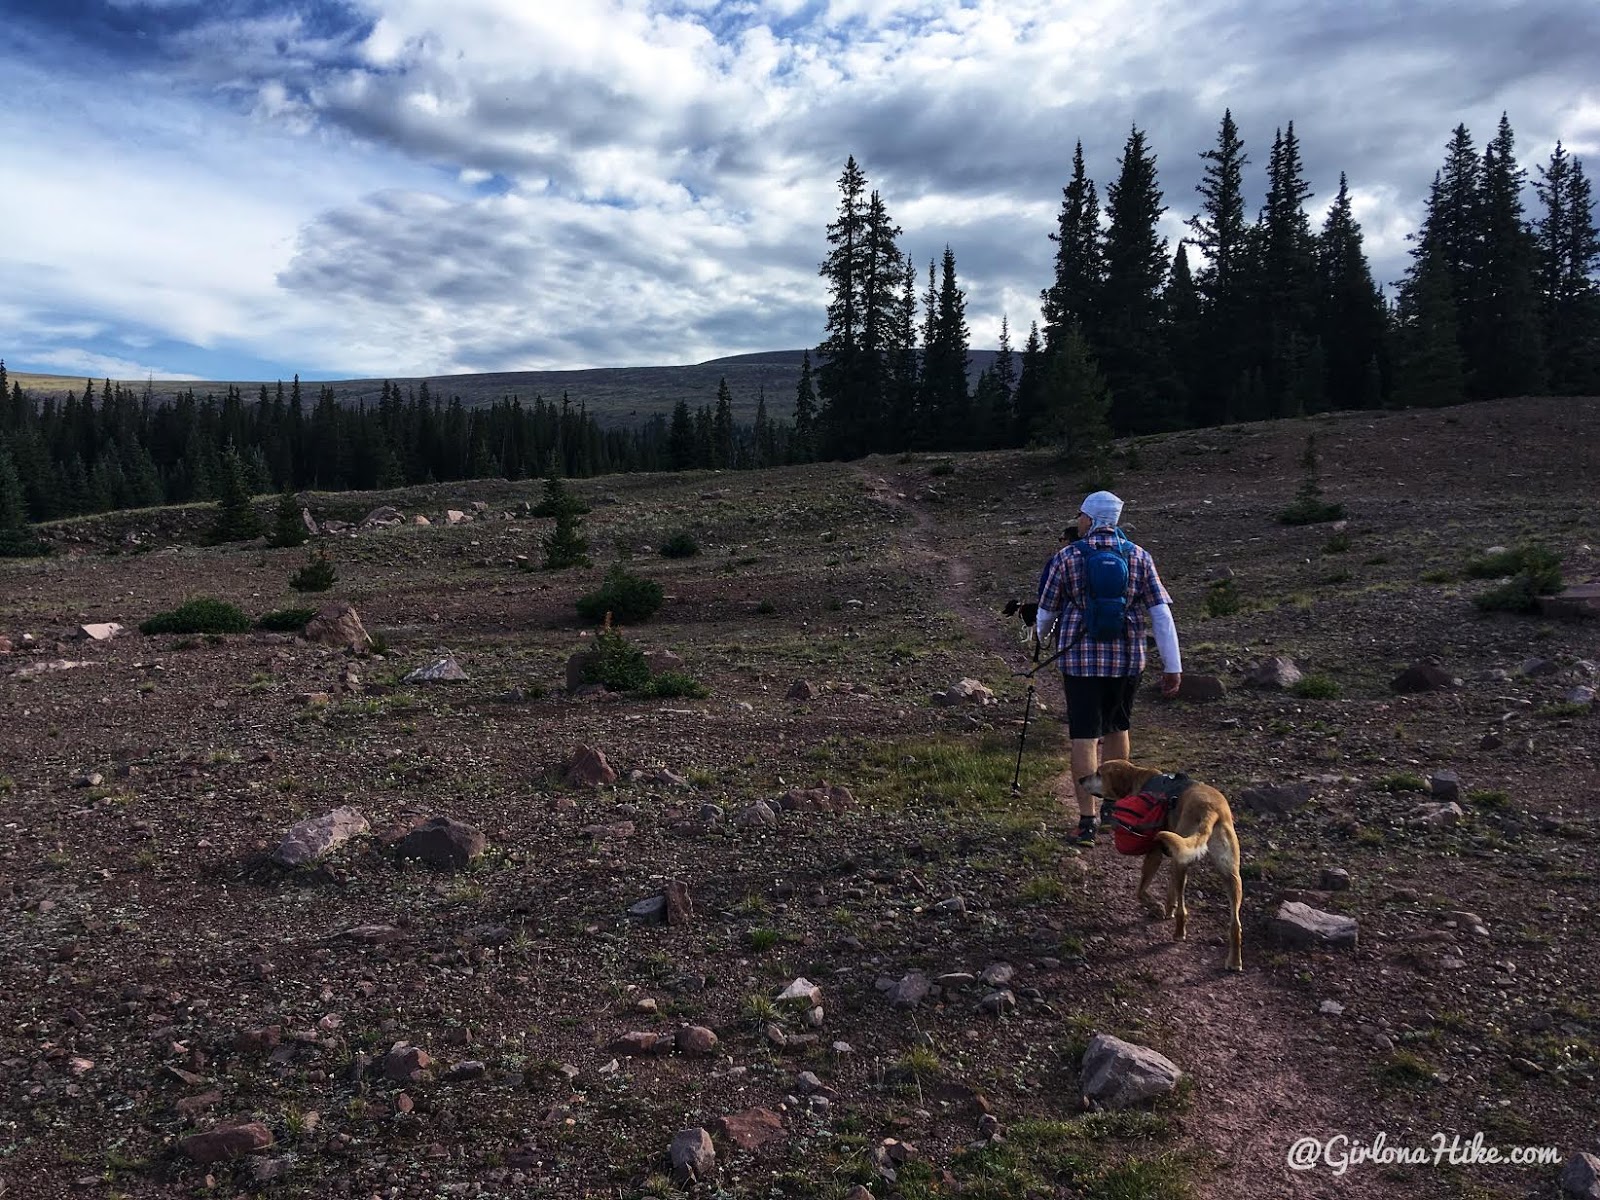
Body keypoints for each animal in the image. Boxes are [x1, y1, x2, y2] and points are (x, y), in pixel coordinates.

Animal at [1081, 761, 1241, 979]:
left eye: (1098, 773)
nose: (1081, 779)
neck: (1139, 777)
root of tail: (1212, 810)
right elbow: (1170, 892)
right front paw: (1166, 908)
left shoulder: (1154, 854)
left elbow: (1140, 891)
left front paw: (1156, 907)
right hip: (1230, 874)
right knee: (1236, 925)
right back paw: (1234, 961)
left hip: (1182, 863)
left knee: (1184, 910)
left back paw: (1179, 933)